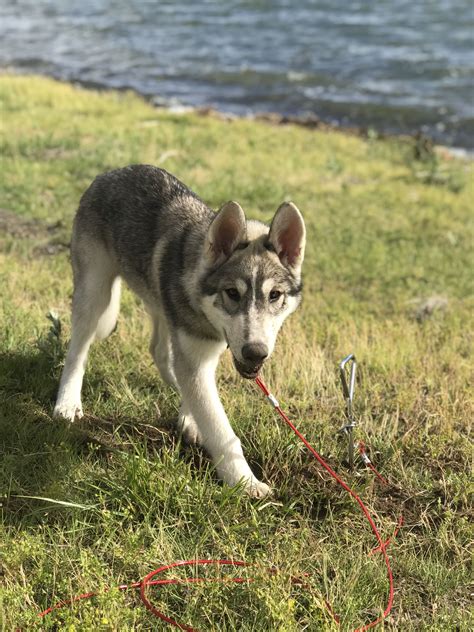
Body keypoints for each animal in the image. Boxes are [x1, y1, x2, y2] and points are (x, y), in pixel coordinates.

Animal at [53, 164, 306, 498]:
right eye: (232, 293)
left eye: (275, 295)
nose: (256, 352)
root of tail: (113, 171)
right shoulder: (196, 355)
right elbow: (221, 429)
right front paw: (245, 483)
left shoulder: (206, 350)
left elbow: (199, 395)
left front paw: (191, 417)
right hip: (95, 294)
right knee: (78, 351)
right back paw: (67, 403)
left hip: (158, 303)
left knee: (159, 351)